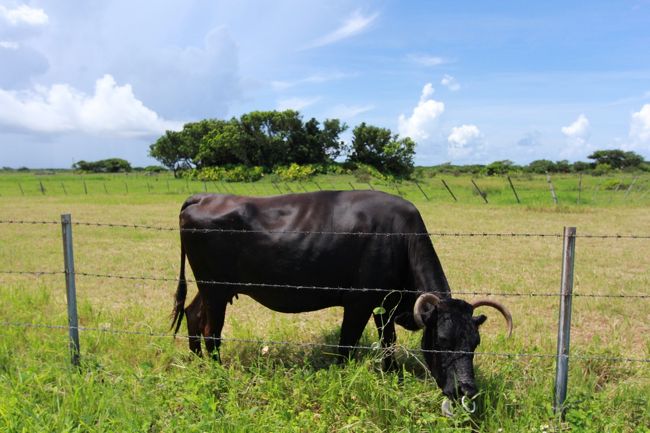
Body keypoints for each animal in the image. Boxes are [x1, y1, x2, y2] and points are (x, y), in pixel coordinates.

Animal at [171, 191, 512, 400]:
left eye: (475, 343)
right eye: (441, 340)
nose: (466, 391)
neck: (401, 237)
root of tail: (205, 196)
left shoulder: (386, 305)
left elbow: (388, 343)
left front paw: (391, 376)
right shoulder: (359, 302)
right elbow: (346, 345)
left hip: (212, 289)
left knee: (192, 315)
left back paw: (197, 364)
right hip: (215, 288)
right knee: (211, 331)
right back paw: (216, 371)